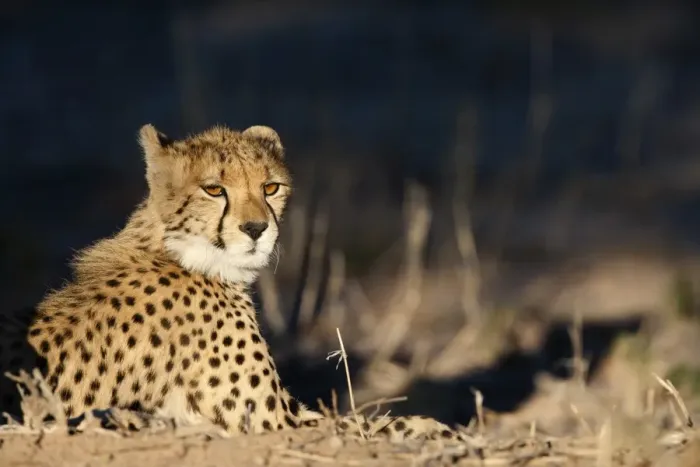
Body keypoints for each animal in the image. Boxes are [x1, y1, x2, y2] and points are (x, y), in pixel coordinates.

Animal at [0, 123, 462, 442]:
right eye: (214, 189)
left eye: (270, 187)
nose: (257, 228)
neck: (180, 251)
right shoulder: (273, 423)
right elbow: (371, 426)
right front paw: (438, 429)